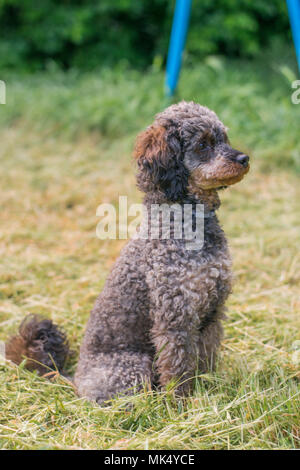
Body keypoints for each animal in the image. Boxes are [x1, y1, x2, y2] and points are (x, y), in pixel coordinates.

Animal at [5, 101, 250, 402]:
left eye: (224, 138)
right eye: (203, 144)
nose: (244, 158)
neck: (188, 224)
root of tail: (76, 379)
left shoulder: (212, 312)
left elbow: (206, 358)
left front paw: (209, 388)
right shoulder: (175, 320)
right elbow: (178, 369)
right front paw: (180, 403)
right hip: (133, 365)